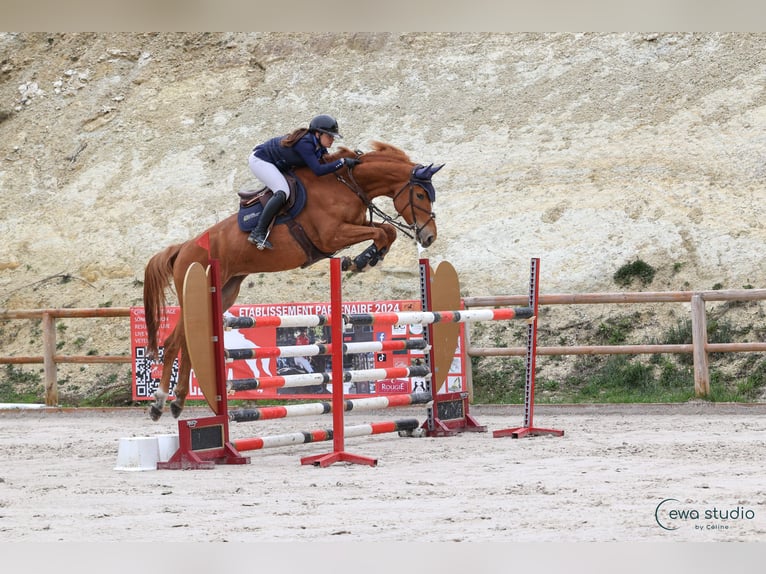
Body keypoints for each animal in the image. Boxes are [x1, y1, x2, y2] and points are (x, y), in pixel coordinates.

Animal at [144, 142, 444, 420]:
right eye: (420, 194)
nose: (429, 236)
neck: (347, 184)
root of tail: (183, 248)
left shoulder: (352, 228)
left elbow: (387, 231)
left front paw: (367, 258)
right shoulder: (332, 235)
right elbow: (383, 232)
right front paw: (358, 261)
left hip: (224, 293)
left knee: (186, 343)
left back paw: (177, 401)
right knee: (173, 343)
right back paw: (159, 402)